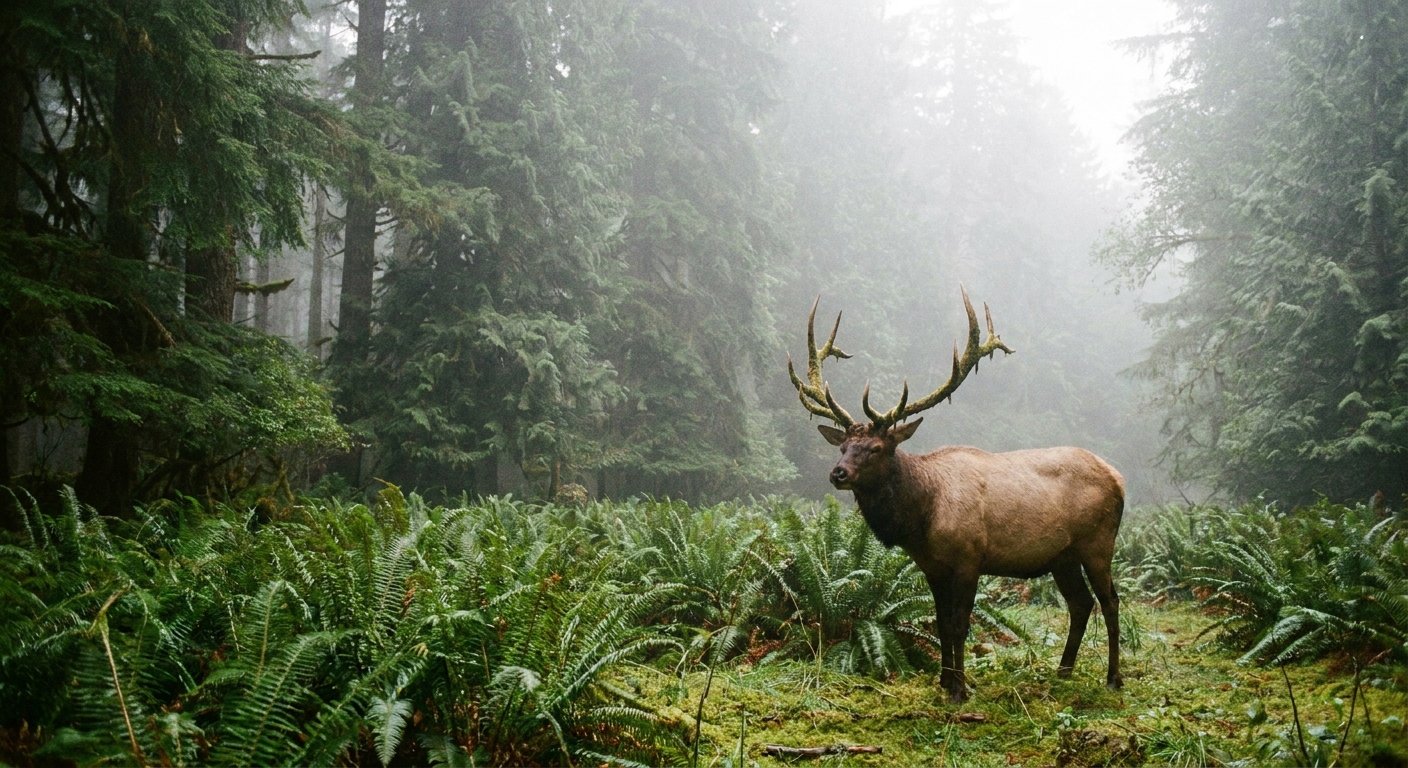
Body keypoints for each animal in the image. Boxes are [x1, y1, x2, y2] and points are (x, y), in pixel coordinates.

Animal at [787, 288, 1125, 704]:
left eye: (877, 448)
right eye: (843, 447)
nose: (838, 474)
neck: (921, 519)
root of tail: (1119, 479)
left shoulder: (969, 557)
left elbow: (961, 623)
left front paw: (961, 690)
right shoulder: (932, 566)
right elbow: (941, 623)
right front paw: (944, 681)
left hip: (1098, 542)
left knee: (1109, 600)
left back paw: (1113, 678)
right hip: (1062, 556)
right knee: (1080, 603)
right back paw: (1062, 672)